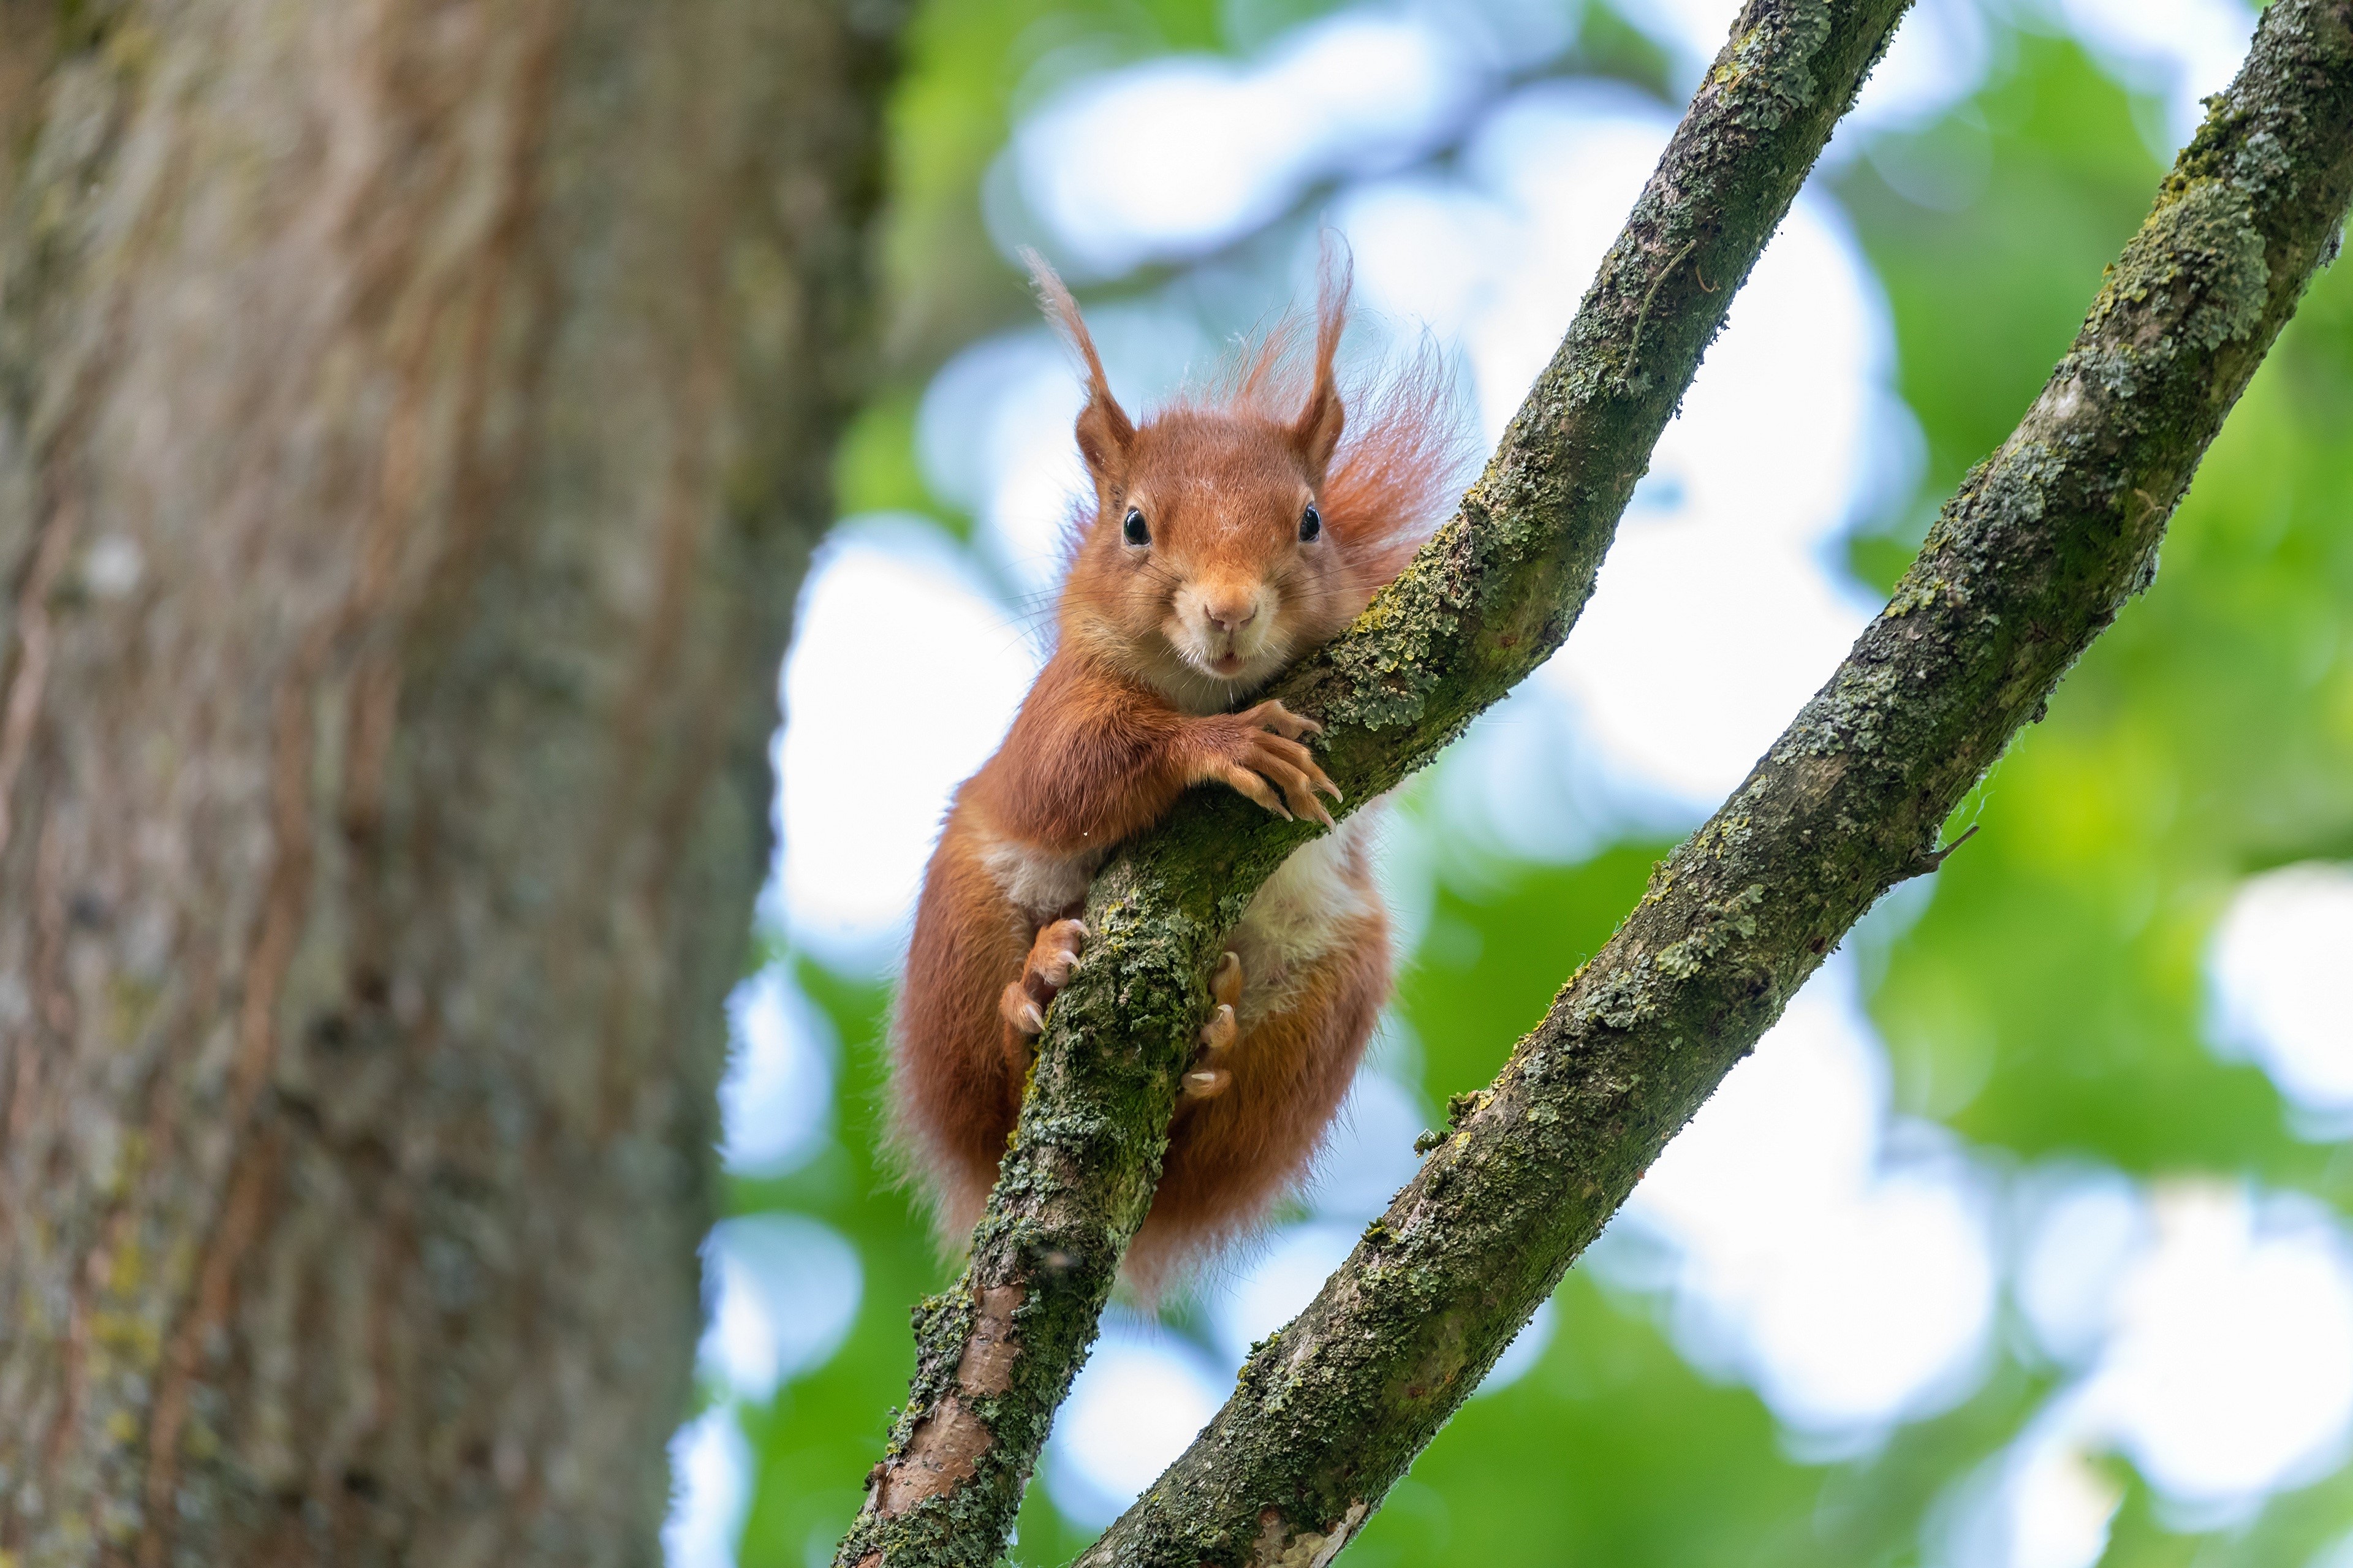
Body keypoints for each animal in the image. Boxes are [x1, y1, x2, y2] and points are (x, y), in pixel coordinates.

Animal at [889, 250, 1463, 1286]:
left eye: (1311, 521)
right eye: (1133, 525)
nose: (1229, 612)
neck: (1203, 688)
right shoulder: (1053, 709)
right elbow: (1070, 774)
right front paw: (1225, 748)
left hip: (1335, 989)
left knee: (1212, 1149)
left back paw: (1211, 1048)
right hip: (962, 926)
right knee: (988, 1093)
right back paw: (1032, 992)